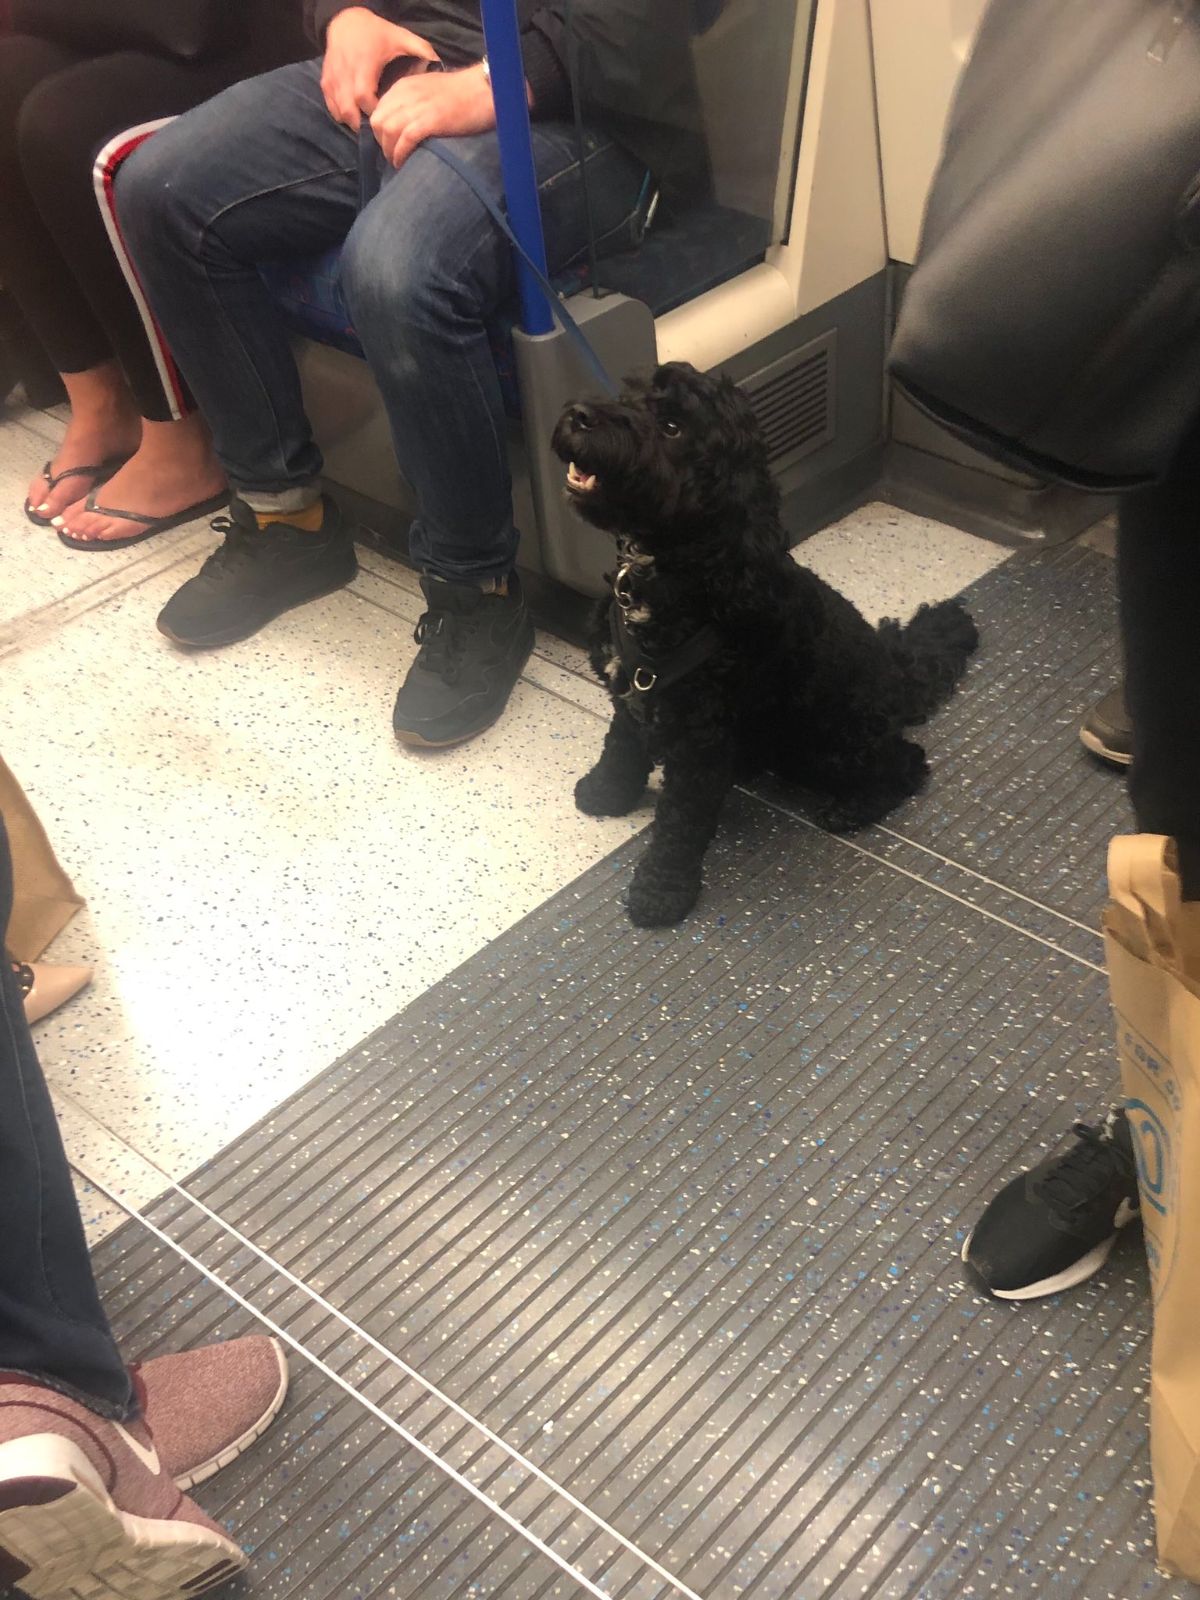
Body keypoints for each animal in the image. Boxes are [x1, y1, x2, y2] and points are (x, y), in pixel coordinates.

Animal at [553, 361, 979, 934]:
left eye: (672, 427)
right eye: (627, 396)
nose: (578, 414)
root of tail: (894, 674)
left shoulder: (700, 740)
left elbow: (680, 824)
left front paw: (661, 892)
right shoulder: (632, 694)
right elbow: (620, 747)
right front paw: (607, 792)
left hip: (831, 739)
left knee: (907, 762)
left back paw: (853, 808)